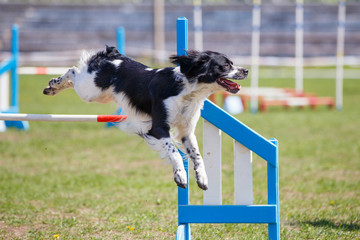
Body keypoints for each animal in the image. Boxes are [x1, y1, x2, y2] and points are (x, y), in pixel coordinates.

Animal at [43, 46, 248, 190]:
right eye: (226, 65)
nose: (246, 70)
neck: (187, 90)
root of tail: (113, 55)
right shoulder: (158, 127)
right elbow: (174, 152)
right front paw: (180, 176)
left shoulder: (186, 132)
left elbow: (197, 155)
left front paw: (203, 179)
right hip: (90, 90)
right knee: (72, 71)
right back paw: (52, 85)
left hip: (101, 95)